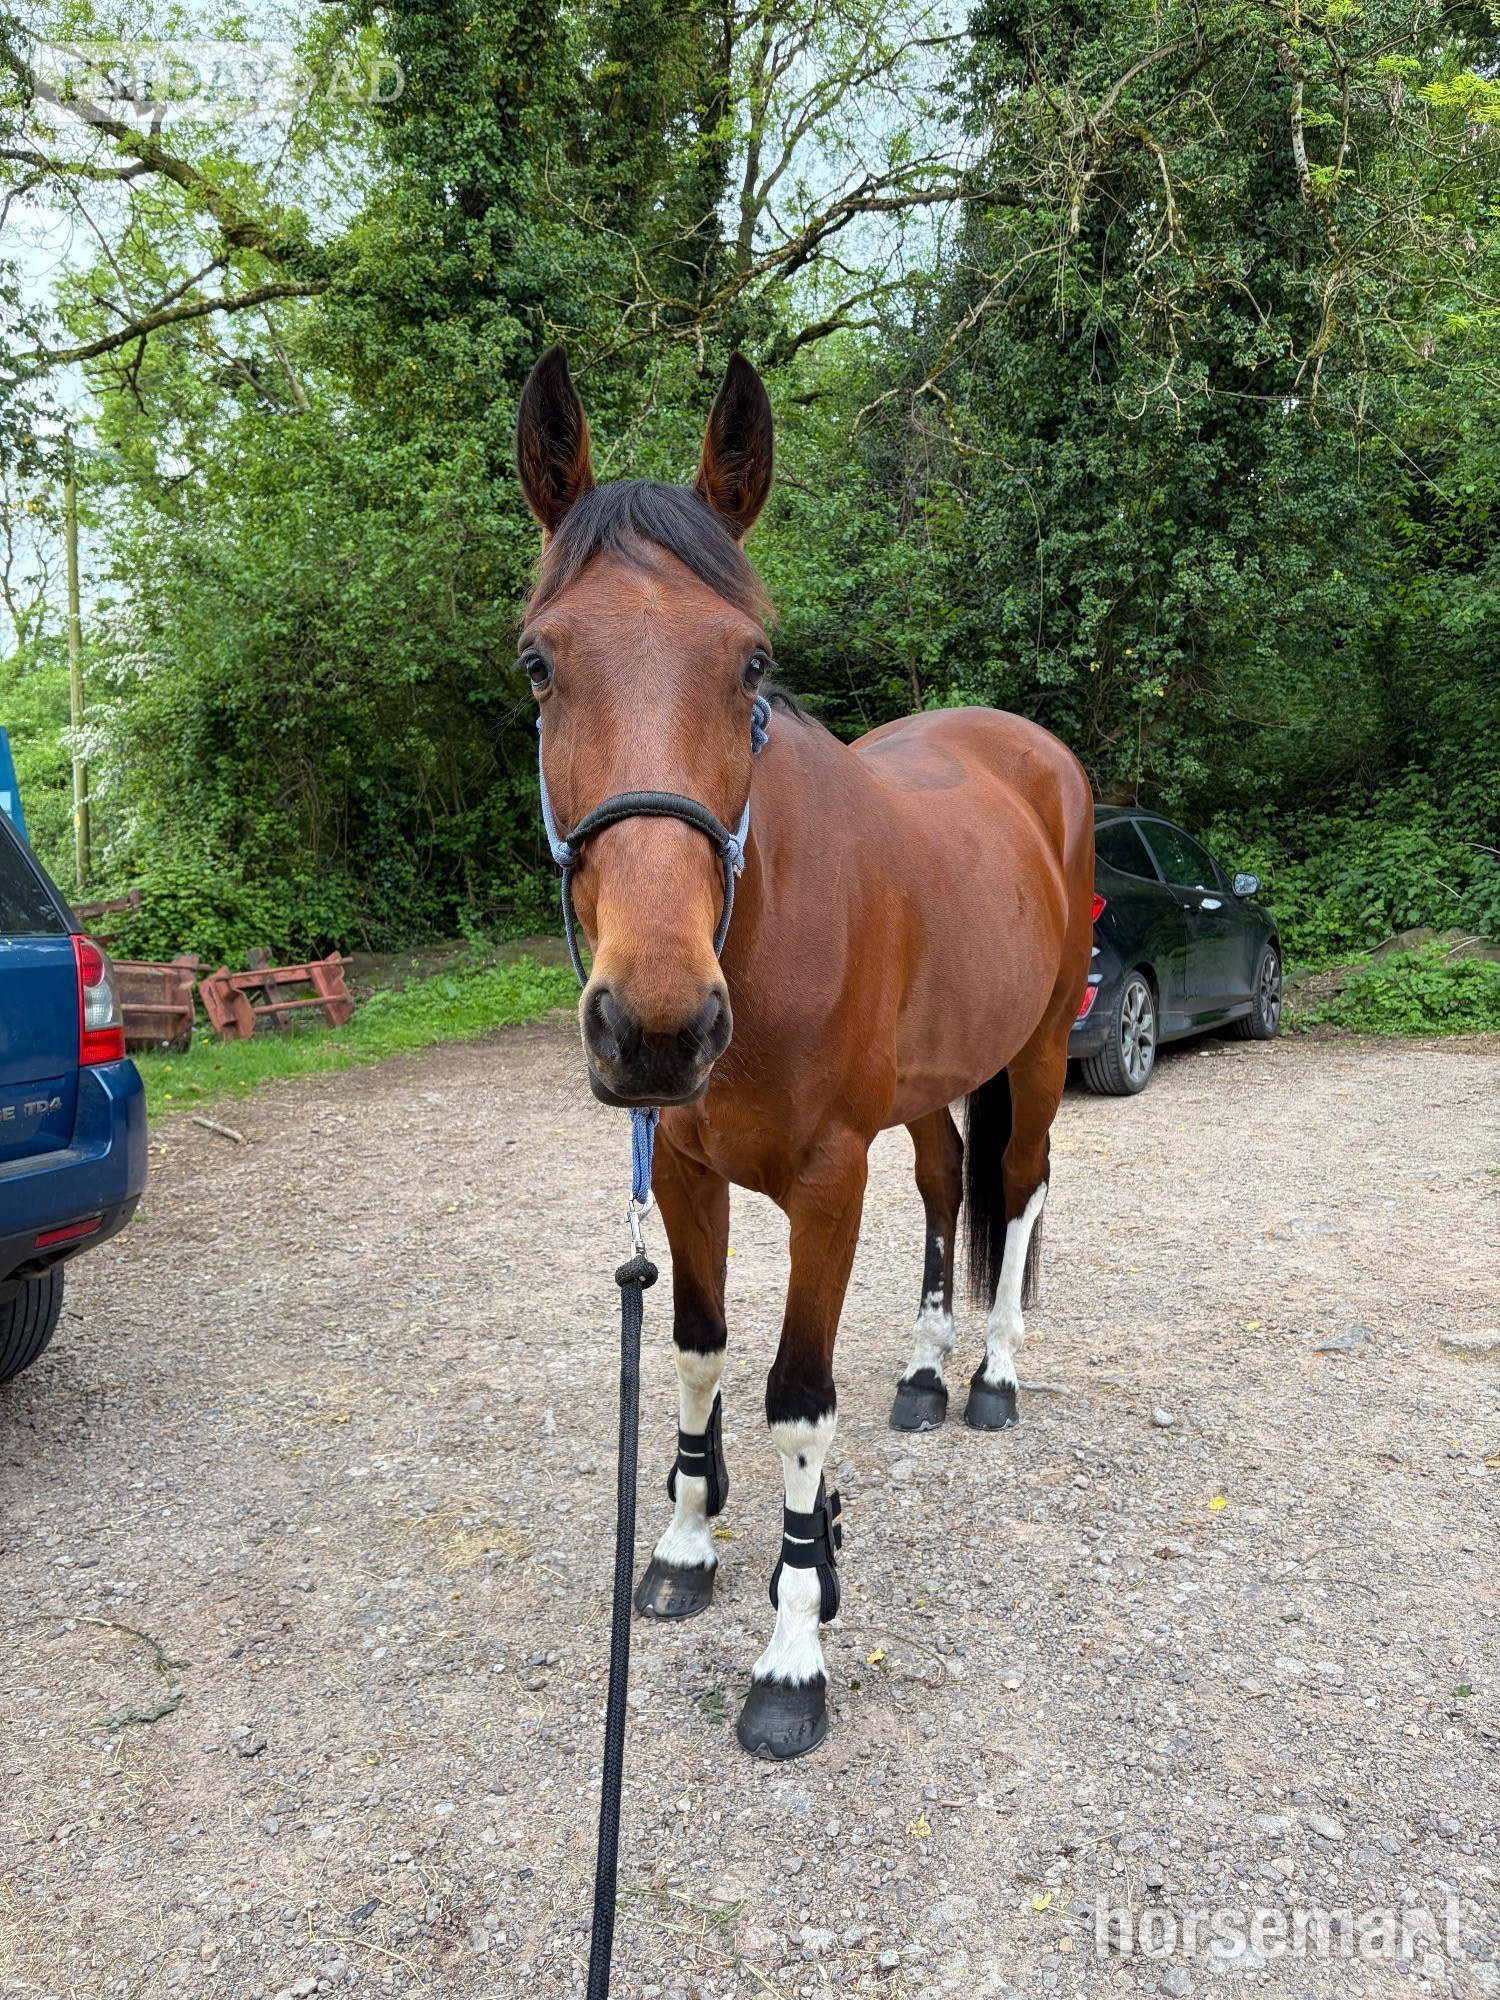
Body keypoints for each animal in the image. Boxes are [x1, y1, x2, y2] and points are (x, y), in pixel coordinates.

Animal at [515, 345, 1094, 1760]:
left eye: (752, 663)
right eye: (541, 664)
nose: (658, 1024)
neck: (759, 922)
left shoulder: (830, 1182)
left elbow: (795, 1398)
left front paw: (793, 1645)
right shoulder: (682, 1171)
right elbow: (696, 1349)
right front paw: (683, 1544)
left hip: (1038, 1050)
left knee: (1021, 1185)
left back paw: (993, 1373)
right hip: (934, 1087)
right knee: (949, 1183)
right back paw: (929, 1370)